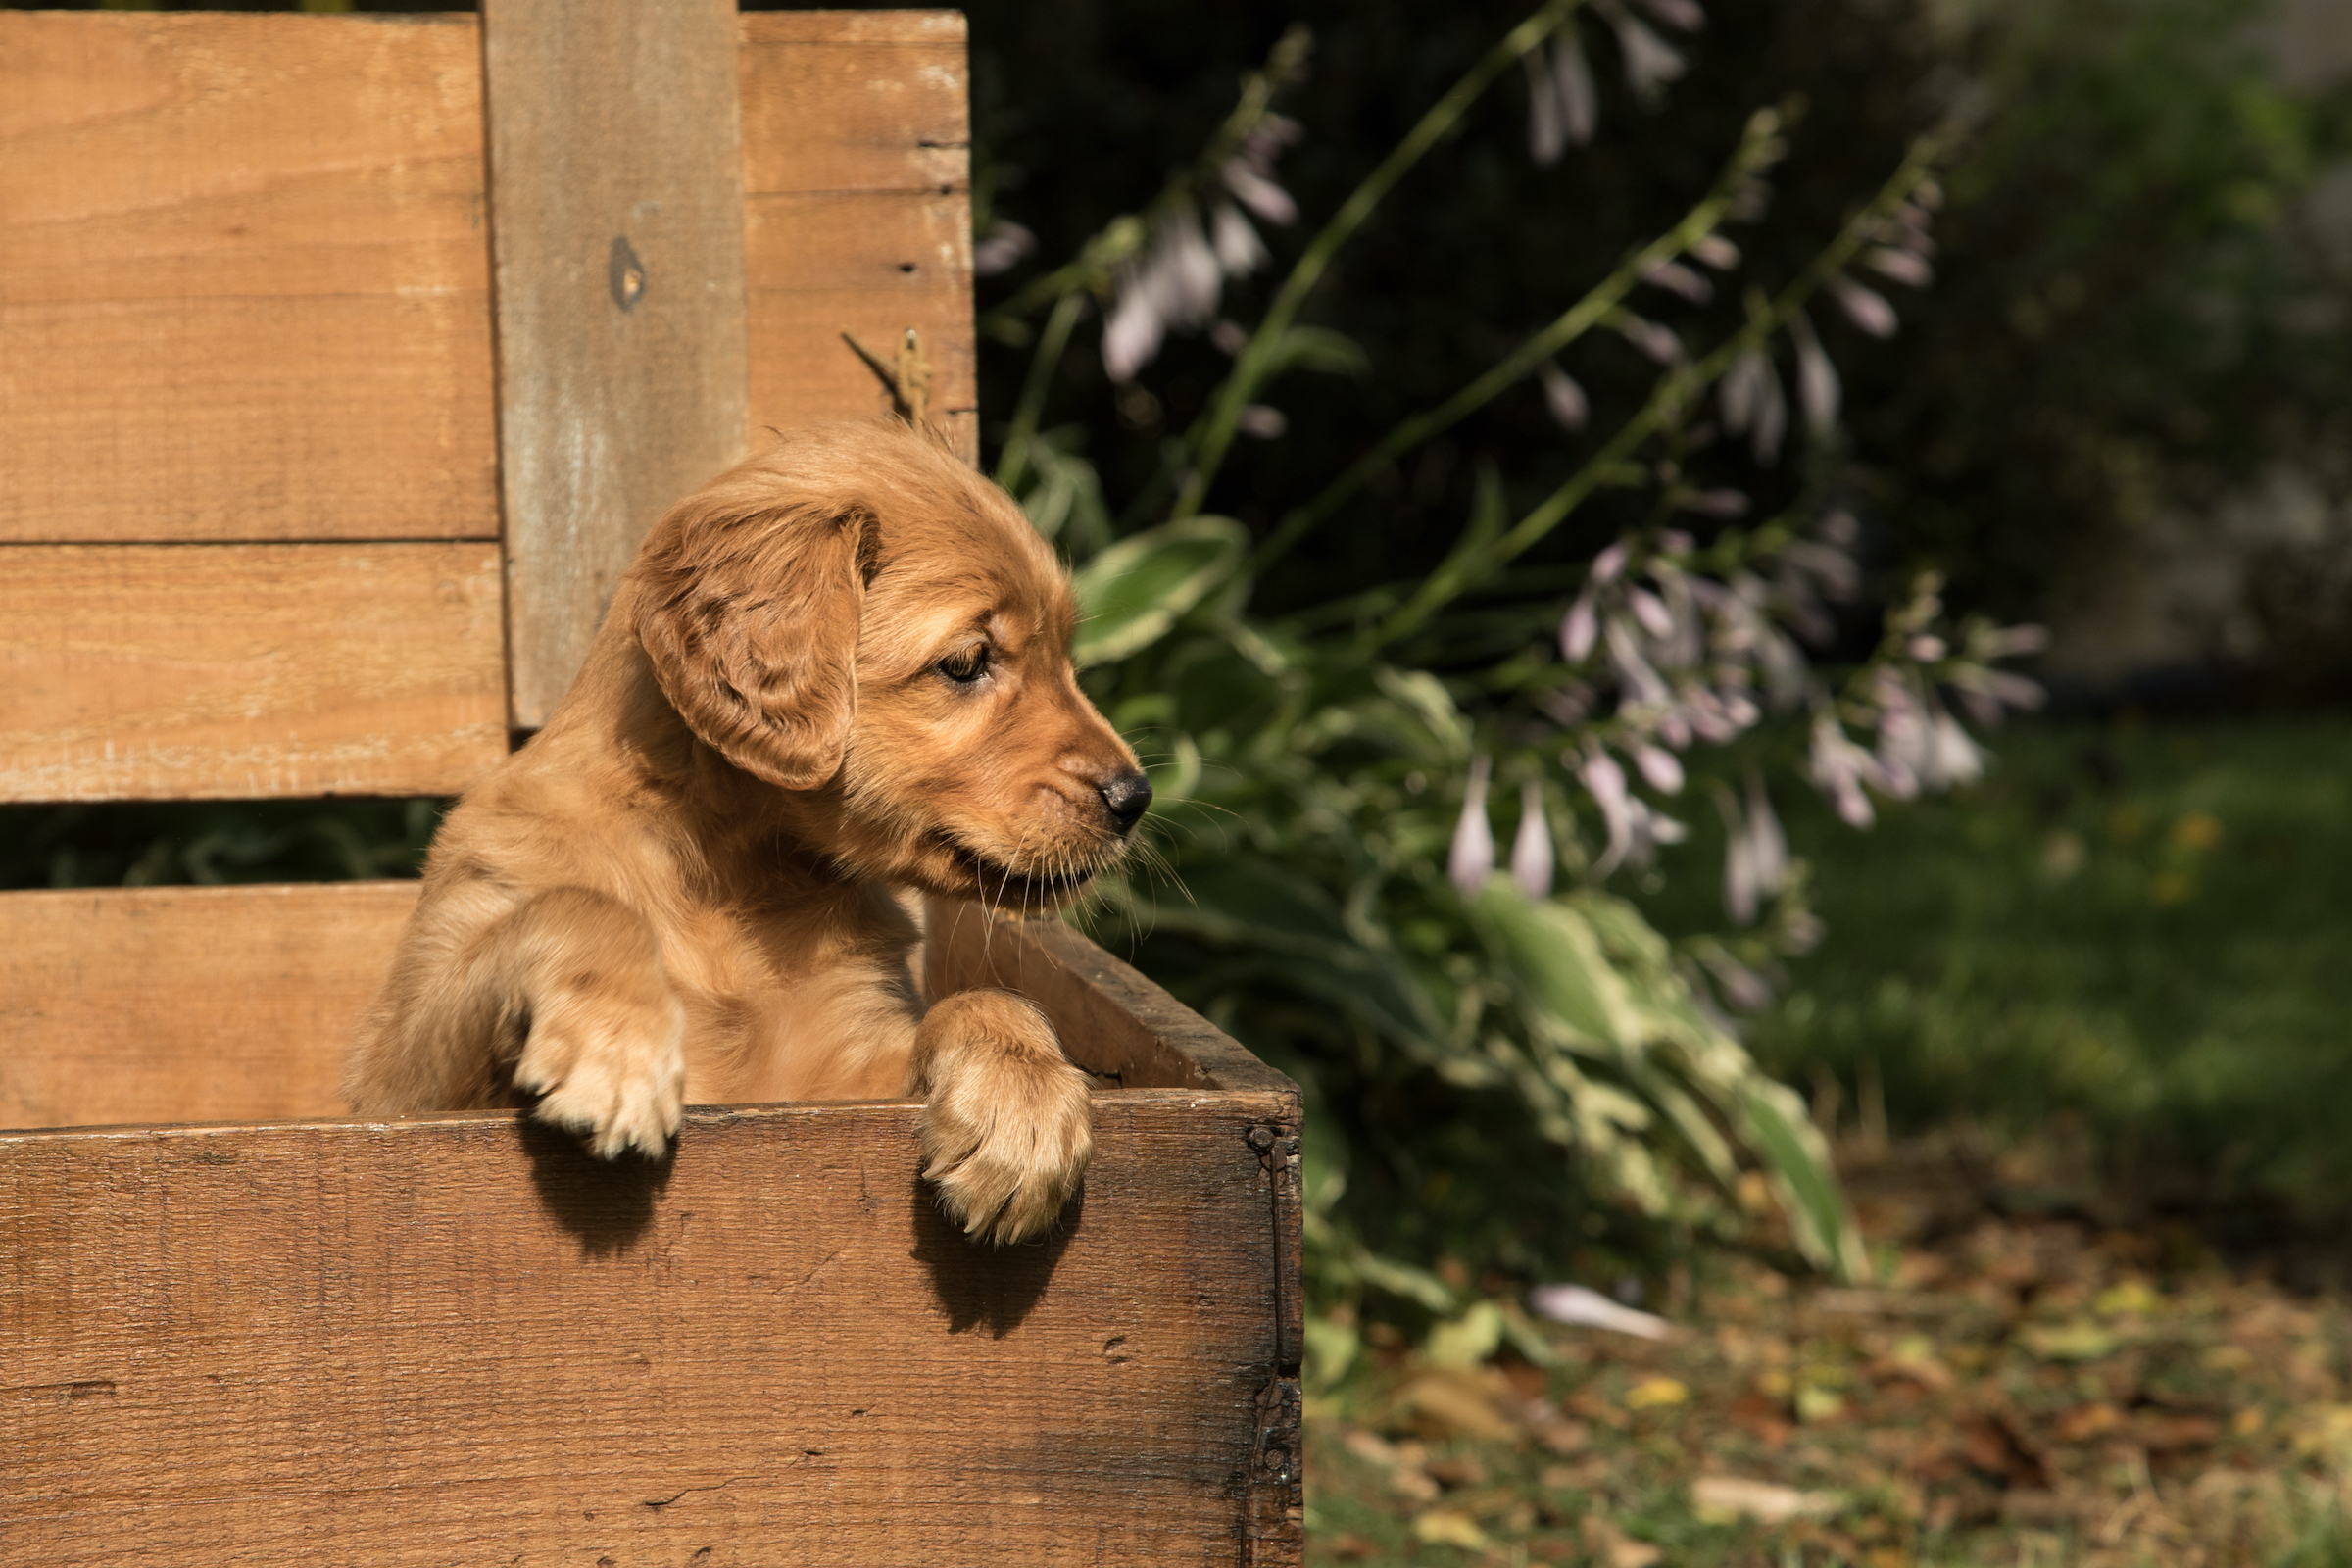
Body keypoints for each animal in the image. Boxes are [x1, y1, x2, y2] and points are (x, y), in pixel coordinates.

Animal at [343, 422, 1152, 1241]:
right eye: (966, 662)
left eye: (1064, 656)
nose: (1135, 797)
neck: (728, 879)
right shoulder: (402, 1086)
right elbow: (575, 906)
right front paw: (618, 1047)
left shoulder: (830, 1070)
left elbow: (985, 999)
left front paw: (1024, 1107)